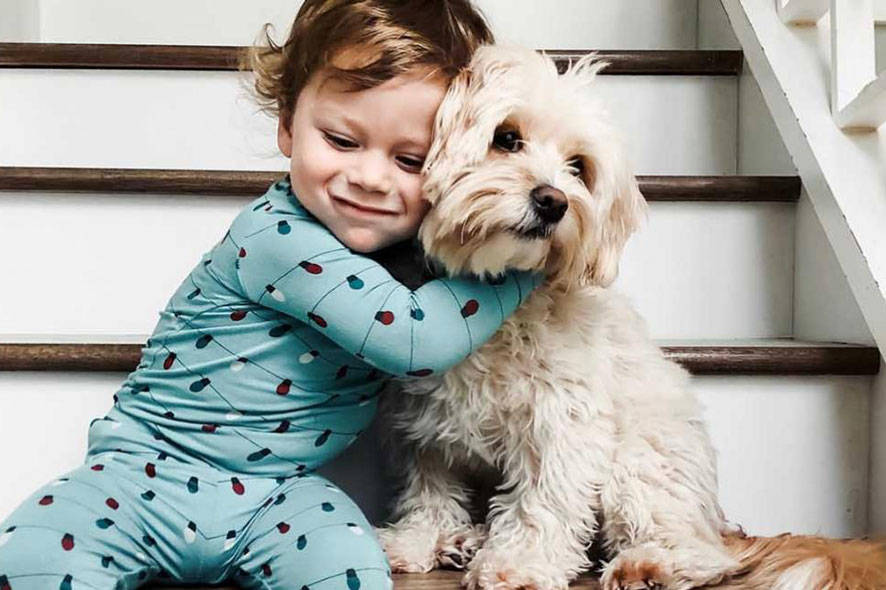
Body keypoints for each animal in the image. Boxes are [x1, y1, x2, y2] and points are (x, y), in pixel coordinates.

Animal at [376, 46, 886, 590]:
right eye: (506, 138)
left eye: (578, 167)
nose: (553, 202)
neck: (489, 297)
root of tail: (717, 521)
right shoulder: (429, 429)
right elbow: (430, 491)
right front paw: (419, 539)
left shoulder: (562, 420)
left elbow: (544, 499)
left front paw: (519, 563)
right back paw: (463, 540)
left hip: (641, 462)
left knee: (701, 552)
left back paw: (650, 564)